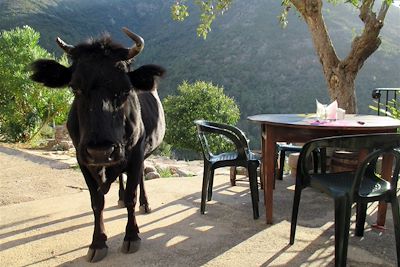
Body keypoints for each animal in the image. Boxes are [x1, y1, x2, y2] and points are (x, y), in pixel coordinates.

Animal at [30, 28, 166, 262]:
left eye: (126, 90)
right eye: (75, 88)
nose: (101, 150)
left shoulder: (136, 154)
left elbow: (131, 196)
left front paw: (132, 236)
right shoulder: (82, 158)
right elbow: (96, 202)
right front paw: (98, 242)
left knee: (139, 177)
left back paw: (145, 203)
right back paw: (119, 197)